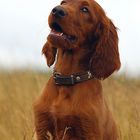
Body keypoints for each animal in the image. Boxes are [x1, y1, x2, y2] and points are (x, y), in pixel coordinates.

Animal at [33, 0, 120, 139]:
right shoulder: (42, 128)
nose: (57, 10)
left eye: (85, 10)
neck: (66, 80)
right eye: (63, 2)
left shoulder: (90, 131)